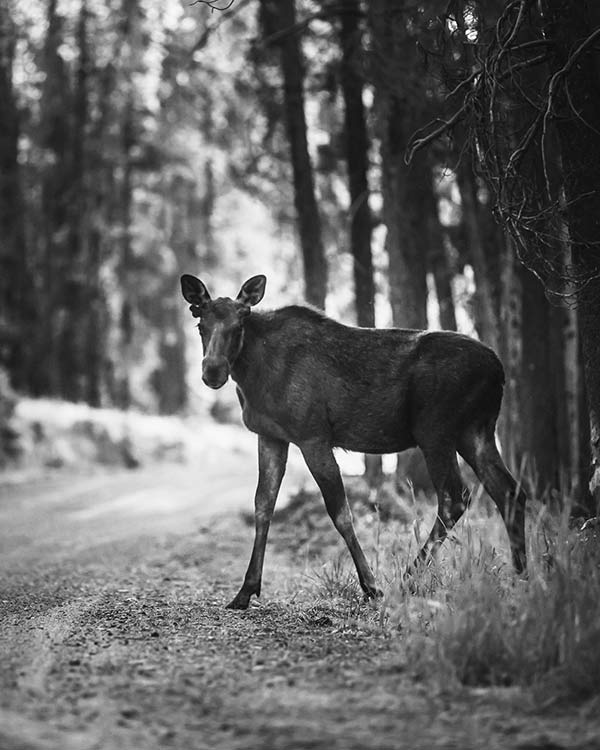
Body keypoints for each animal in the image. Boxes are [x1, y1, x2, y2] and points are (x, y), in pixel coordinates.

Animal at [179, 274, 524, 612]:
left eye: (239, 324)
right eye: (200, 324)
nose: (212, 371)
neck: (253, 377)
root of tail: (499, 372)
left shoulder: (313, 435)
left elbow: (340, 512)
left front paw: (371, 586)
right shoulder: (271, 435)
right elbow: (263, 504)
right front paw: (245, 590)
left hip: (435, 430)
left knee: (455, 496)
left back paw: (407, 580)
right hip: (476, 432)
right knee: (508, 491)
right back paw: (522, 576)